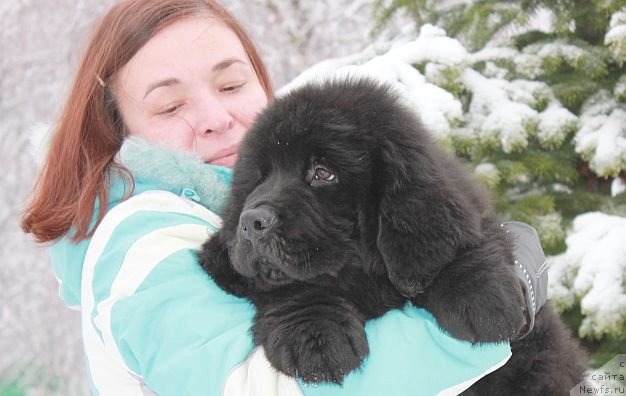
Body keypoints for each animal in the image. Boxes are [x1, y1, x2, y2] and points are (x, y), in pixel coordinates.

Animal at [200, 77, 584, 392]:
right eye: (260, 178)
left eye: (322, 173)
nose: (251, 222)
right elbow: (290, 285)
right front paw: (313, 334)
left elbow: (450, 246)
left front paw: (482, 299)